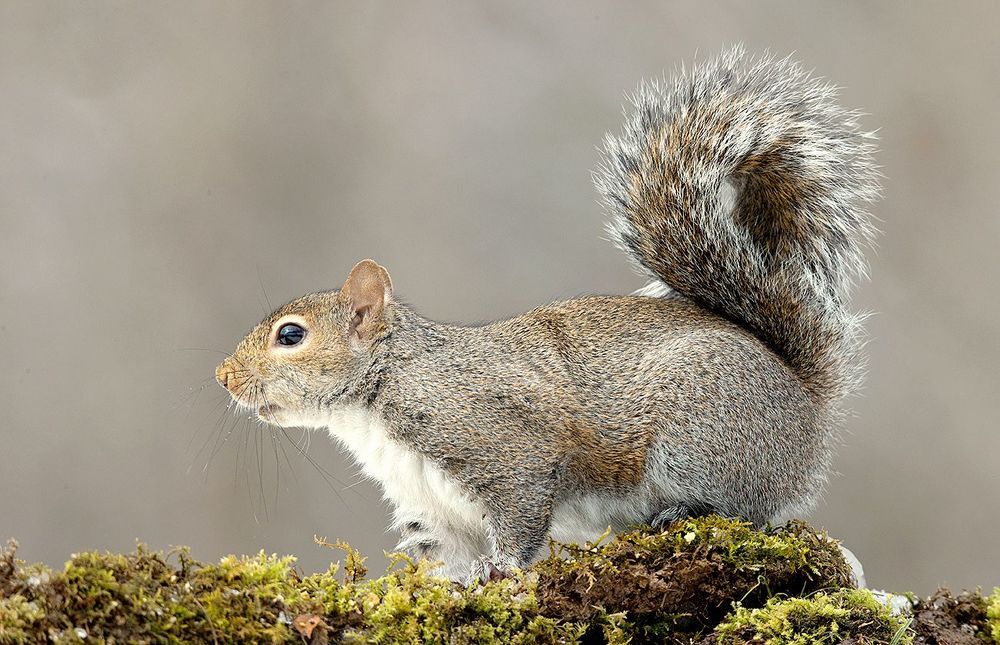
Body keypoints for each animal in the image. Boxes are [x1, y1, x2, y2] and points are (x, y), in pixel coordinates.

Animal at [215, 47, 879, 582]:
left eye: (291, 336)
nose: (223, 377)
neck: (381, 395)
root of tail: (806, 408)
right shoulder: (431, 510)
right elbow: (444, 560)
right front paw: (454, 584)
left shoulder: (506, 444)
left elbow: (520, 520)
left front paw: (501, 570)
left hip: (701, 435)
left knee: (747, 509)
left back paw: (681, 511)